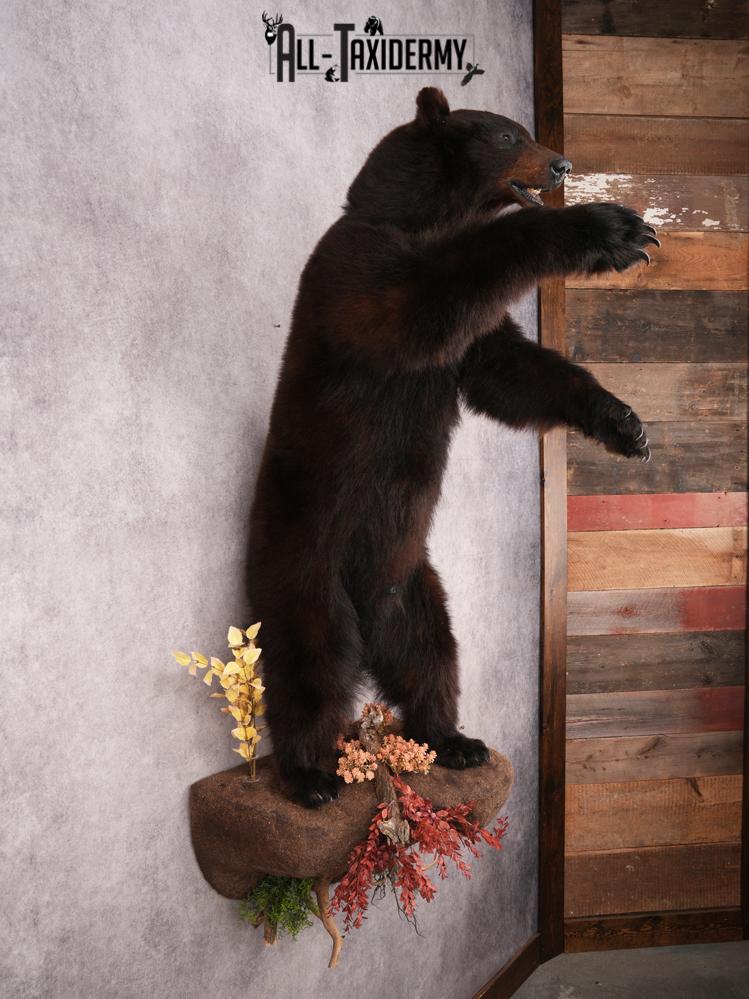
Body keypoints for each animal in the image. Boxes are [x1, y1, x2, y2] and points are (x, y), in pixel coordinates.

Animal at [247, 87, 657, 807]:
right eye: (509, 134)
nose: (561, 163)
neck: (418, 216)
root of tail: (364, 609)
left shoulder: (474, 341)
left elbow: (510, 370)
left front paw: (623, 423)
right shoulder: (354, 266)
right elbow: (415, 303)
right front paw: (607, 230)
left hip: (412, 579)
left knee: (427, 651)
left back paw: (451, 737)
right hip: (305, 556)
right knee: (309, 660)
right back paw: (310, 774)